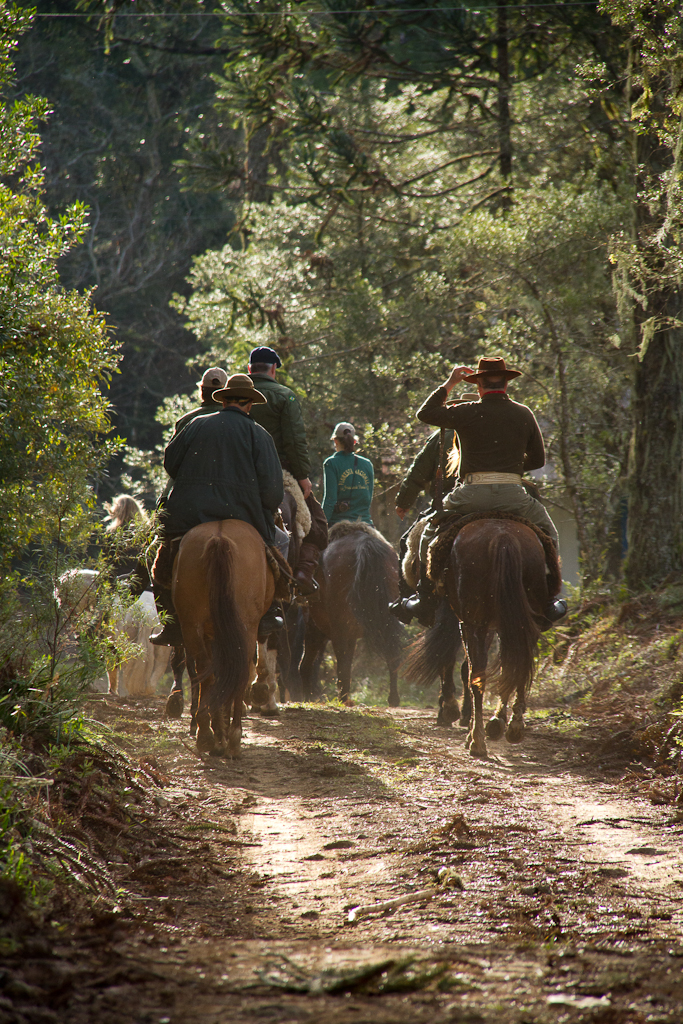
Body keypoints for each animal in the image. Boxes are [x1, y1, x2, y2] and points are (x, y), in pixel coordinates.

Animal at [172, 524, 274, 757]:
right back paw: (229, 737)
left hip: (193, 627)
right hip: (244, 627)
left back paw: (208, 734)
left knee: (207, 674)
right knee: (235, 674)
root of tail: (219, 539)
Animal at [301, 524, 405, 708]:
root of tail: (366, 545)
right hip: (384, 622)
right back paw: (393, 699)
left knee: (339, 663)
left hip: (338, 629)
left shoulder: (318, 628)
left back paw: (342, 699)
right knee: (392, 653)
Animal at [405, 520, 548, 753]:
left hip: (478, 622)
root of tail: (503, 538)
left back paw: (476, 734)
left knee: (476, 671)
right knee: (506, 667)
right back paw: (501, 727)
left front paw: (455, 711)